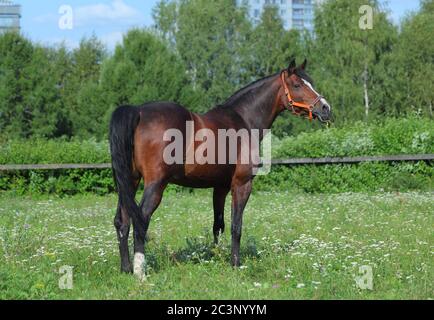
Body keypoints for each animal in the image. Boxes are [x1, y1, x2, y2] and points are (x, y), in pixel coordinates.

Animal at [109, 58, 332, 278]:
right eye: (297, 85)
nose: (325, 108)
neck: (244, 120)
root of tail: (138, 111)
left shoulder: (220, 187)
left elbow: (218, 225)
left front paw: (216, 257)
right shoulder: (242, 184)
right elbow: (236, 226)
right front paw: (235, 264)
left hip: (129, 182)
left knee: (122, 221)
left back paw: (126, 269)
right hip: (156, 184)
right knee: (141, 219)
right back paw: (140, 273)